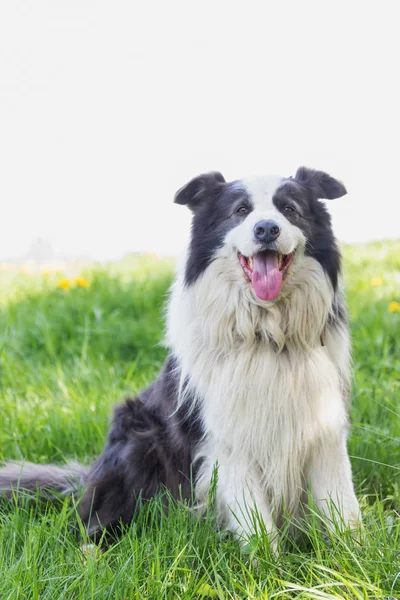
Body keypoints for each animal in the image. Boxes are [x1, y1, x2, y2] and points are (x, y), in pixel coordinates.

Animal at [0, 165, 360, 548]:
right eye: (240, 211)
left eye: (289, 209)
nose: (266, 229)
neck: (267, 334)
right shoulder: (227, 441)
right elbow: (257, 525)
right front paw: (267, 564)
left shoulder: (324, 429)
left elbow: (343, 509)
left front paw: (354, 555)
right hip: (137, 439)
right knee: (94, 518)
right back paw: (92, 550)